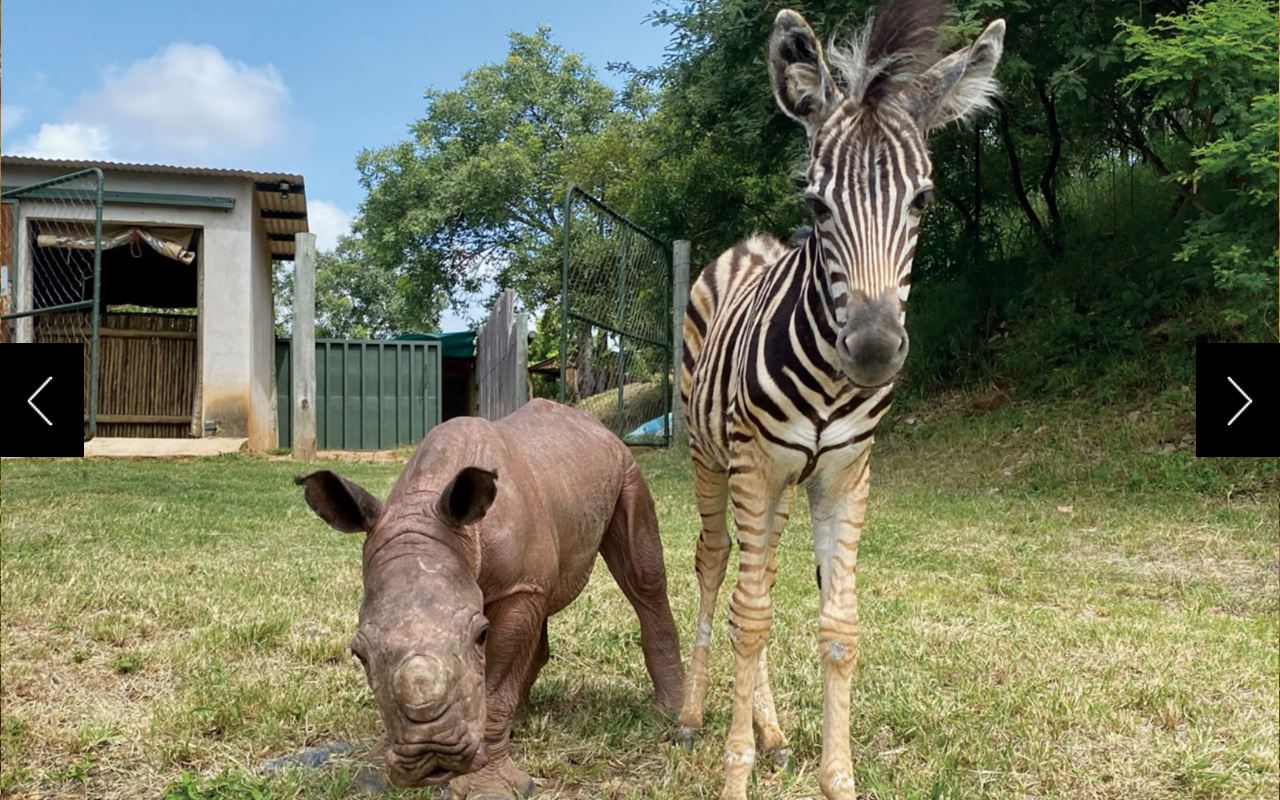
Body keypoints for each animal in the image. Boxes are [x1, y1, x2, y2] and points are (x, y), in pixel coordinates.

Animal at [675, 3, 1003, 793]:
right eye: (816, 203)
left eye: (923, 200)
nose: (876, 350)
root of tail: (748, 243)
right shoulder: (755, 466)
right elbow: (750, 616)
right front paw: (734, 777)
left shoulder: (844, 473)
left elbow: (838, 627)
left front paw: (836, 778)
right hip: (712, 459)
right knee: (716, 564)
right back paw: (694, 716)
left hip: (779, 486)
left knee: (757, 571)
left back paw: (771, 732)